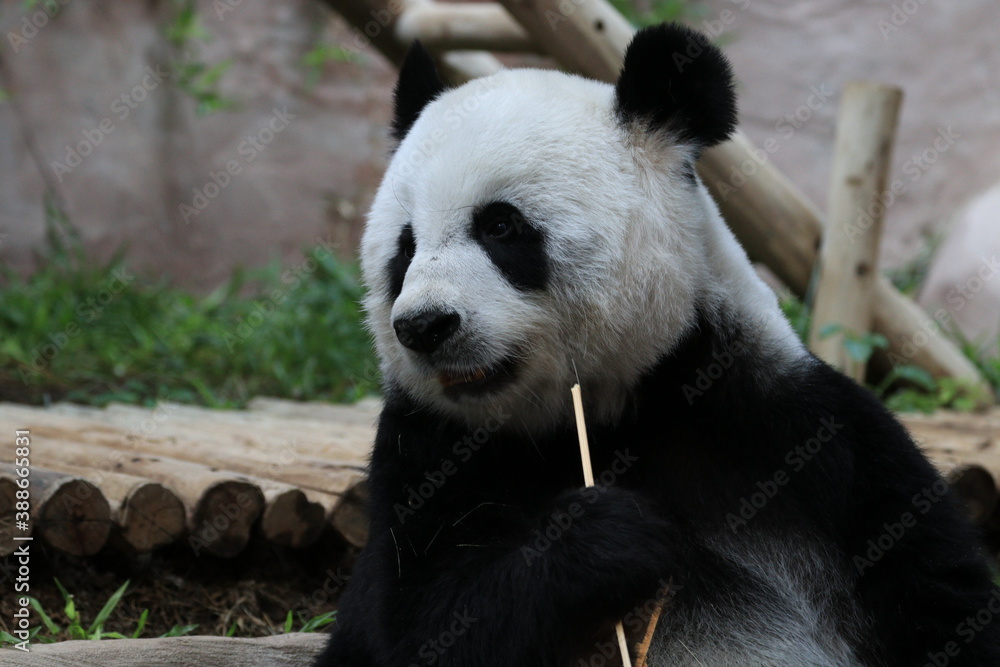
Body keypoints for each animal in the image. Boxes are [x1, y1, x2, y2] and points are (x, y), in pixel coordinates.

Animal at [315, 23, 1000, 667]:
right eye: (404, 249)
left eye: (500, 226)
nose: (425, 326)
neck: (611, 414)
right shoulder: (424, 454)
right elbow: (414, 626)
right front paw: (610, 535)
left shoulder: (800, 434)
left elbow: (939, 589)